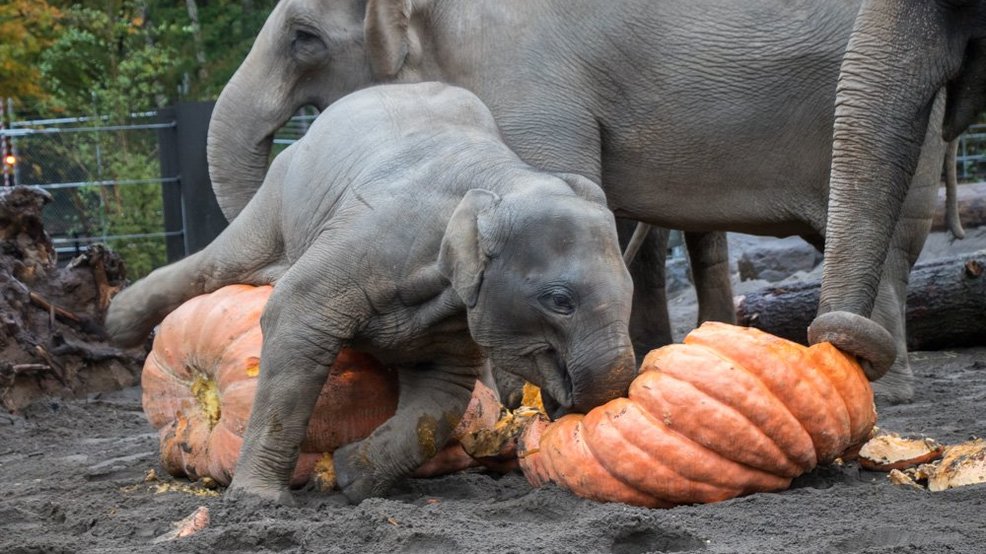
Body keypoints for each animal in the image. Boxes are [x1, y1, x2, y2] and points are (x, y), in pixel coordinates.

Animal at [106, 82, 637, 504]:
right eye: (560, 301)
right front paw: (258, 502)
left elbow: (442, 398)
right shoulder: (369, 240)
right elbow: (292, 318)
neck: (501, 178)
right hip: (280, 195)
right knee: (216, 265)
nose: (560, 406)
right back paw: (116, 323)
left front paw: (349, 478)